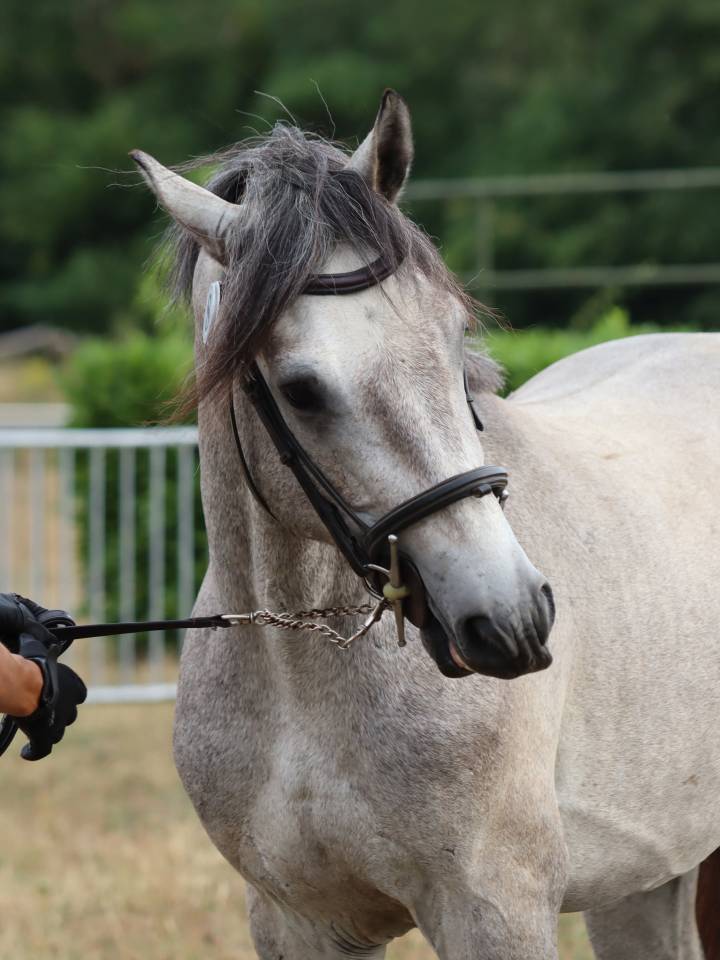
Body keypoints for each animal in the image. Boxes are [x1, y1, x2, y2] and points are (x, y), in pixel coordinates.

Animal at [132, 90, 720, 959]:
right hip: (646, 879)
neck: (301, 680)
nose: (513, 619)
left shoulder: (495, 911)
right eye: (301, 389)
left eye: (453, 335)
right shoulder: (299, 922)